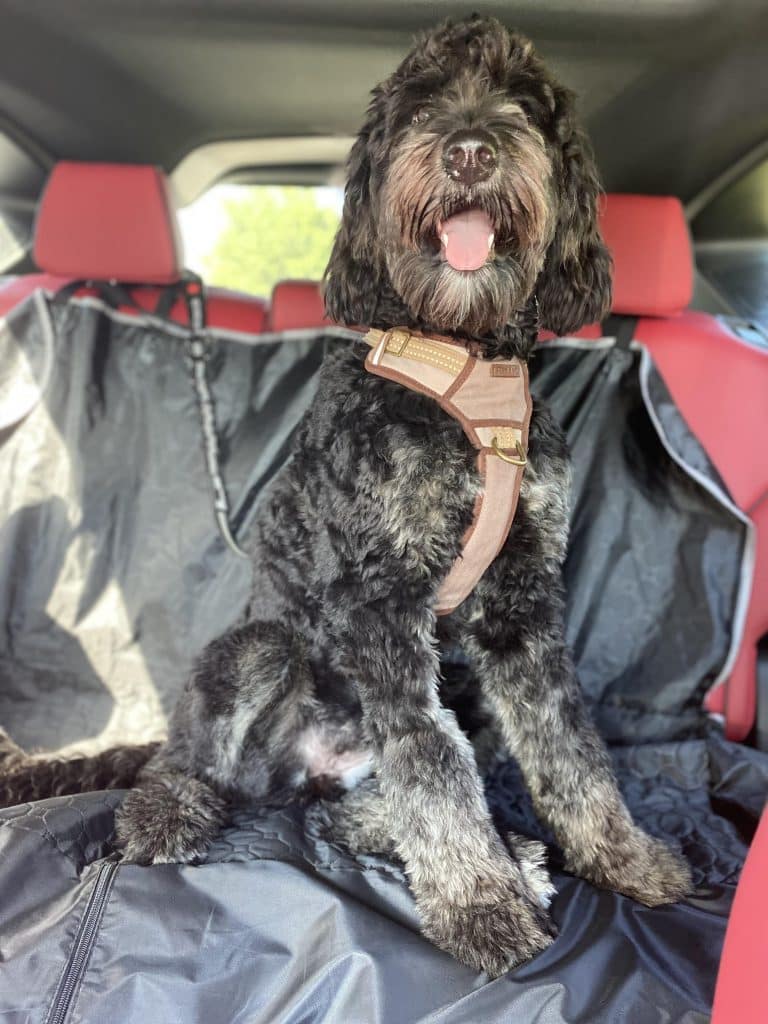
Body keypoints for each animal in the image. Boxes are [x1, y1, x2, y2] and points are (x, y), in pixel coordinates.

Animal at [0, 16, 696, 974]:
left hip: (459, 691)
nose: (470, 152)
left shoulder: (521, 608)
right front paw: (481, 906)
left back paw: (491, 843)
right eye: (423, 106)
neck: (462, 363)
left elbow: (569, 746)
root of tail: (316, 764)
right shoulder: (381, 597)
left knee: (350, 807)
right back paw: (169, 811)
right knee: (198, 760)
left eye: (522, 103)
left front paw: (622, 858)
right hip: (259, 651)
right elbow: (430, 760)